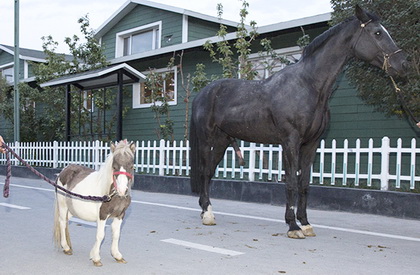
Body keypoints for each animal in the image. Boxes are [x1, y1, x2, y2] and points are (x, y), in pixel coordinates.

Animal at [52, 140, 135, 268]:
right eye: (114, 166)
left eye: (131, 166)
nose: (122, 191)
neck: (111, 194)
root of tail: (63, 170)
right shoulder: (102, 215)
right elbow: (100, 235)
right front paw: (96, 258)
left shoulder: (120, 215)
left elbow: (116, 234)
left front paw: (117, 255)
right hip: (63, 205)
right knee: (62, 222)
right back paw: (66, 247)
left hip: (71, 209)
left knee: (66, 222)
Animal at [189, 5, 406, 239]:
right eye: (377, 33)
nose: (403, 64)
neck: (307, 85)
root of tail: (203, 93)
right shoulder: (290, 142)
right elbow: (291, 181)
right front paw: (293, 226)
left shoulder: (310, 144)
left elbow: (303, 183)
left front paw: (305, 223)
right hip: (207, 139)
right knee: (204, 172)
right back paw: (208, 214)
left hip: (222, 141)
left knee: (209, 172)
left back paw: (206, 211)